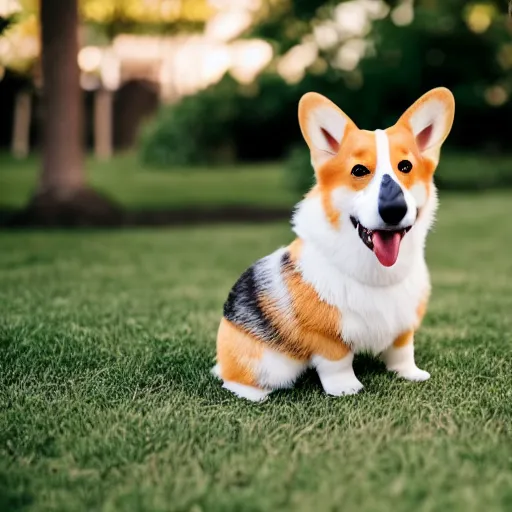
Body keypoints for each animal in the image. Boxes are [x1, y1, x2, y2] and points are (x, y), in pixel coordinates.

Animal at [214, 87, 454, 400]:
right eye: (359, 170)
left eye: (406, 166)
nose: (393, 209)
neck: (378, 274)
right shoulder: (327, 334)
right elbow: (337, 362)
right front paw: (346, 388)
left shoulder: (404, 322)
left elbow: (403, 350)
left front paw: (410, 374)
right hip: (269, 362)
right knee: (233, 377)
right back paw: (253, 394)